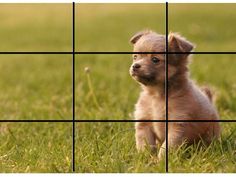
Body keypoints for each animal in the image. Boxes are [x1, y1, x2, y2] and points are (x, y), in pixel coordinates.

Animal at [129, 30, 219, 159]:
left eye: (155, 59)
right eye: (135, 57)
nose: (135, 66)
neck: (157, 96)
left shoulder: (177, 125)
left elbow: (167, 146)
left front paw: (161, 160)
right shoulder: (144, 123)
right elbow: (145, 144)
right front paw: (146, 158)